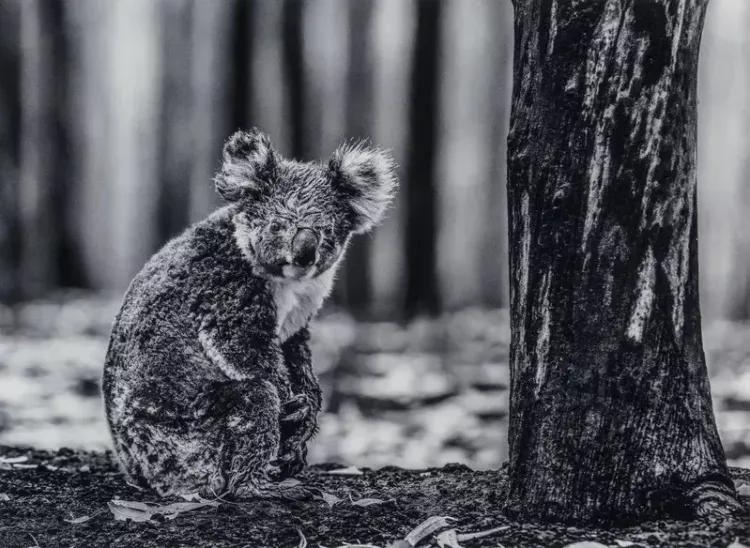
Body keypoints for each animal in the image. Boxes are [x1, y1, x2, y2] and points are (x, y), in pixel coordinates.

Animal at [102, 128, 397, 499]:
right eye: (277, 225)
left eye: (326, 231)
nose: (304, 253)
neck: (286, 284)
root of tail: (138, 473)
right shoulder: (226, 292)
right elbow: (244, 349)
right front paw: (294, 408)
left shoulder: (296, 325)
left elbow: (295, 356)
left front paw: (307, 412)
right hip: (184, 440)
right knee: (255, 401)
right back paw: (263, 486)